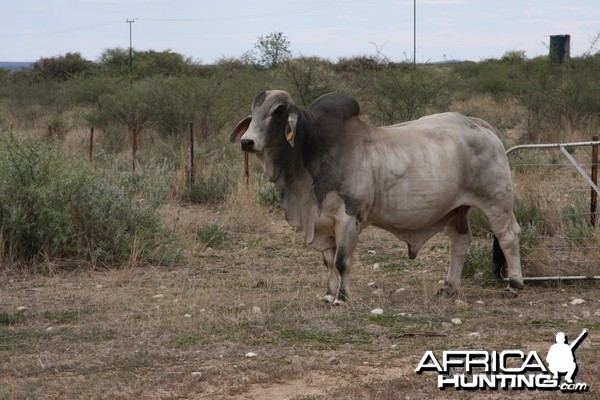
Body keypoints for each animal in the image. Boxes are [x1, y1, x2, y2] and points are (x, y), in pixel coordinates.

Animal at [232, 89, 524, 304]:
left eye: (277, 111)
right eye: (254, 112)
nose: (247, 142)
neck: (315, 150)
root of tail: (479, 125)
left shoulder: (349, 217)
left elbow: (341, 262)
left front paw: (342, 298)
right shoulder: (322, 221)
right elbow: (328, 263)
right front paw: (328, 295)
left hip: (496, 202)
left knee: (508, 236)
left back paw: (515, 284)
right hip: (456, 210)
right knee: (460, 243)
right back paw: (450, 286)